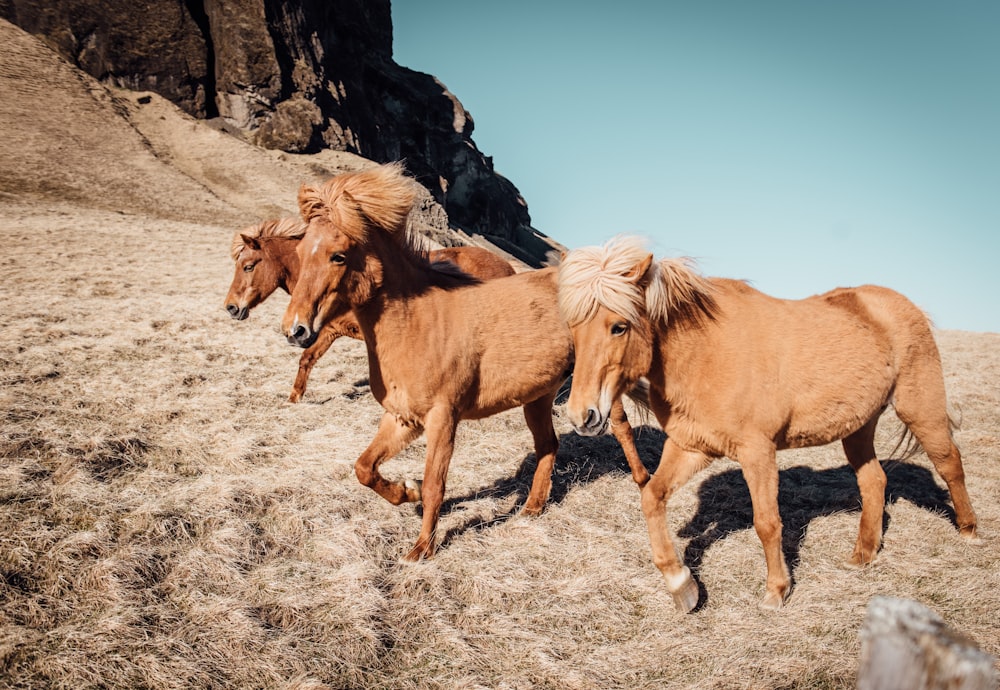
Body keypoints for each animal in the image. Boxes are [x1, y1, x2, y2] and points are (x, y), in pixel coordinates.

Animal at [226, 214, 516, 398]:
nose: (230, 307)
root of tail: (507, 267)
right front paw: (294, 399)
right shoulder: (330, 331)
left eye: (248, 266)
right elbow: (307, 359)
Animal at [560, 235, 980, 608]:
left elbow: (767, 522)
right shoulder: (691, 446)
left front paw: (776, 591)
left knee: (949, 463)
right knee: (874, 480)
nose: (583, 415)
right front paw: (682, 585)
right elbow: (651, 497)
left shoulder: (757, 452)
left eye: (618, 326)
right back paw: (862, 555)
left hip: (919, 407)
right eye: (573, 328)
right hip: (858, 427)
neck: (706, 353)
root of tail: (903, 304)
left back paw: (969, 532)